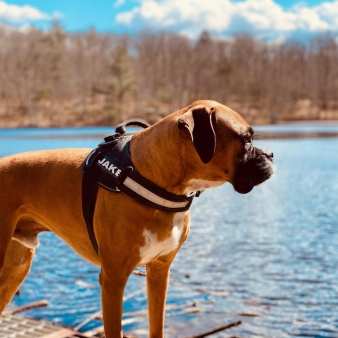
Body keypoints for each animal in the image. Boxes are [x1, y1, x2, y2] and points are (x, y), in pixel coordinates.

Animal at [0, 100, 274, 338]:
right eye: (246, 138)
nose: (271, 154)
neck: (156, 181)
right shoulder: (113, 279)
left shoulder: (159, 273)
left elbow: (157, 326)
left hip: (16, 268)